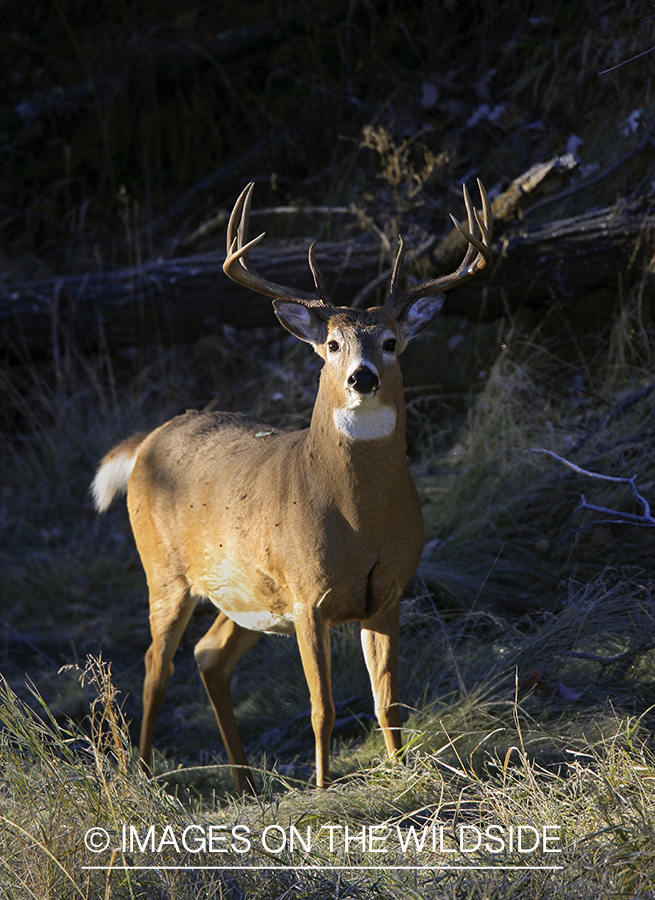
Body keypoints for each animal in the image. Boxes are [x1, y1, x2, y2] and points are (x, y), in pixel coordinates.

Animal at [91, 179, 492, 792]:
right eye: (331, 344)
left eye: (391, 341)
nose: (361, 378)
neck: (359, 523)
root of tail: (144, 443)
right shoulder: (308, 596)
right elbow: (321, 707)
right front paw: (324, 789)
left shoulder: (388, 592)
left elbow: (388, 702)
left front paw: (402, 773)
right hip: (164, 571)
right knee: (155, 664)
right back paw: (142, 773)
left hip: (245, 591)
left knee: (208, 655)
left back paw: (244, 782)